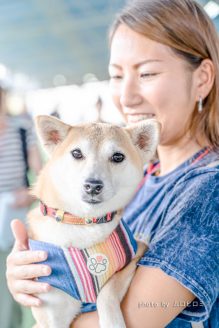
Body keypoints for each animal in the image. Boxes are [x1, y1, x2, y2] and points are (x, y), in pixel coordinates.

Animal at [28, 114, 160, 326]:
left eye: (117, 157)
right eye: (76, 153)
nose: (93, 185)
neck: (84, 223)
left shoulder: (134, 254)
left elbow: (106, 293)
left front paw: (113, 322)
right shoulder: (50, 307)